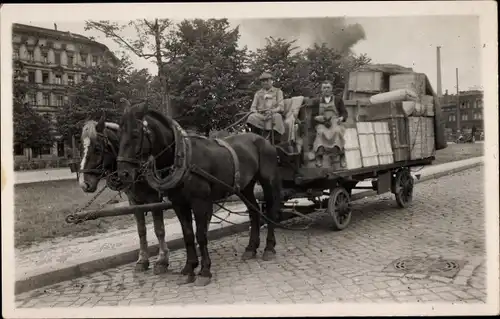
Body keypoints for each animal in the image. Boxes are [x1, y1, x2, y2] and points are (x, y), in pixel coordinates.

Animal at [78, 114, 170, 276]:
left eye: (97, 148)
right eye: (81, 148)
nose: (84, 184)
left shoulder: (155, 200)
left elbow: (159, 230)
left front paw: (162, 260)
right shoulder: (134, 202)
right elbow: (141, 231)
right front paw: (142, 260)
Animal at [114, 103, 284, 288]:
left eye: (135, 134)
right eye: (119, 134)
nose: (123, 174)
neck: (183, 158)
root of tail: (264, 140)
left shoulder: (200, 202)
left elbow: (201, 235)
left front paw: (204, 271)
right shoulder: (179, 203)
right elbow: (188, 234)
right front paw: (189, 268)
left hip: (268, 181)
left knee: (270, 210)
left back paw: (269, 248)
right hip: (245, 187)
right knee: (254, 212)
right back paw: (251, 248)